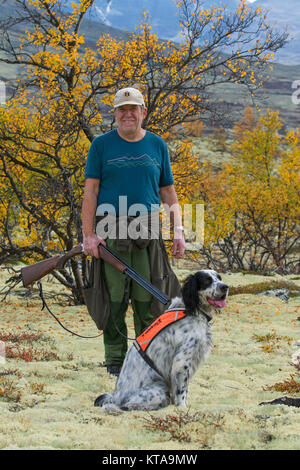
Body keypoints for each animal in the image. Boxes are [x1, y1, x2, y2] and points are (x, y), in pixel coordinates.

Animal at [95, 270, 229, 414]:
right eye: (207, 280)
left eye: (219, 278)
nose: (225, 287)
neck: (192, 310)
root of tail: (115, 397)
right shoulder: (181, 362)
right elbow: (182, 390)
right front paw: (182, 408)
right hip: (158, 390)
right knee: (124, 406)